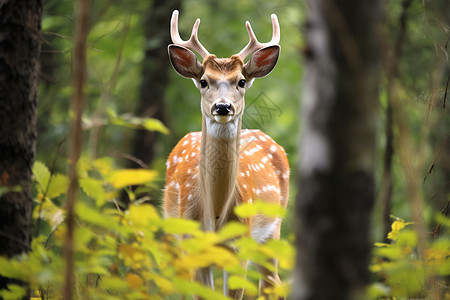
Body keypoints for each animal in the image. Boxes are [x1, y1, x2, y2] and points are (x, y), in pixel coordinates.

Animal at [163, 9, 290, 300]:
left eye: (241, 81)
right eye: (203, 81)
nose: (223, 107)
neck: (216, 217)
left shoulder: (239, 247)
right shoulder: (193, 246)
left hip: (273, 229)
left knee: (273, 284)